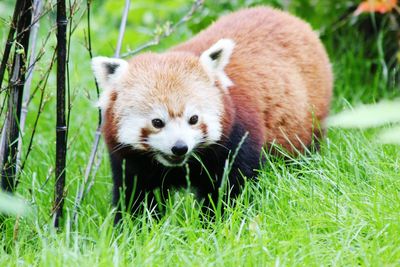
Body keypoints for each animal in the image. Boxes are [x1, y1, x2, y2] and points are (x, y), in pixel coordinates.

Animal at [92, 6, 332, 224]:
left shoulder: (237, 136)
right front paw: (135, 229)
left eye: (194, 119)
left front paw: (216, 224)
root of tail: (288, 17)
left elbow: (230, 189)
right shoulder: (130, 160)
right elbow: (136, 196)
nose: (179, 147)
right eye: (157, 122)